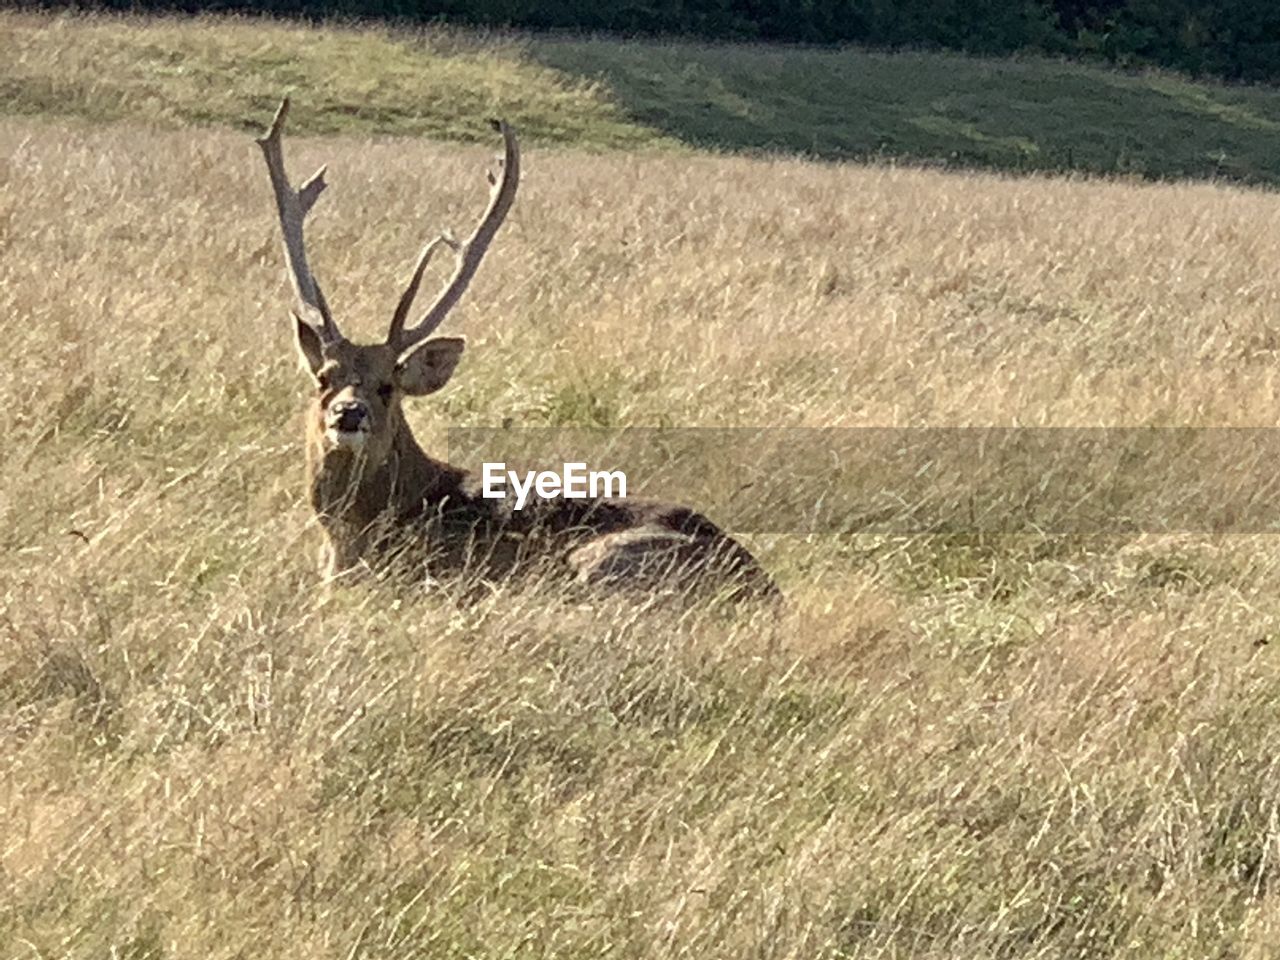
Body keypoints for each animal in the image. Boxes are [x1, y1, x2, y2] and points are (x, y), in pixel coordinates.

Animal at [254, 101, 773, 604]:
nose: (348, 413)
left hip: (604, 561)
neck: (348, 544)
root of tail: (766, 586)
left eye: (388, 387)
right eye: (324, 377)